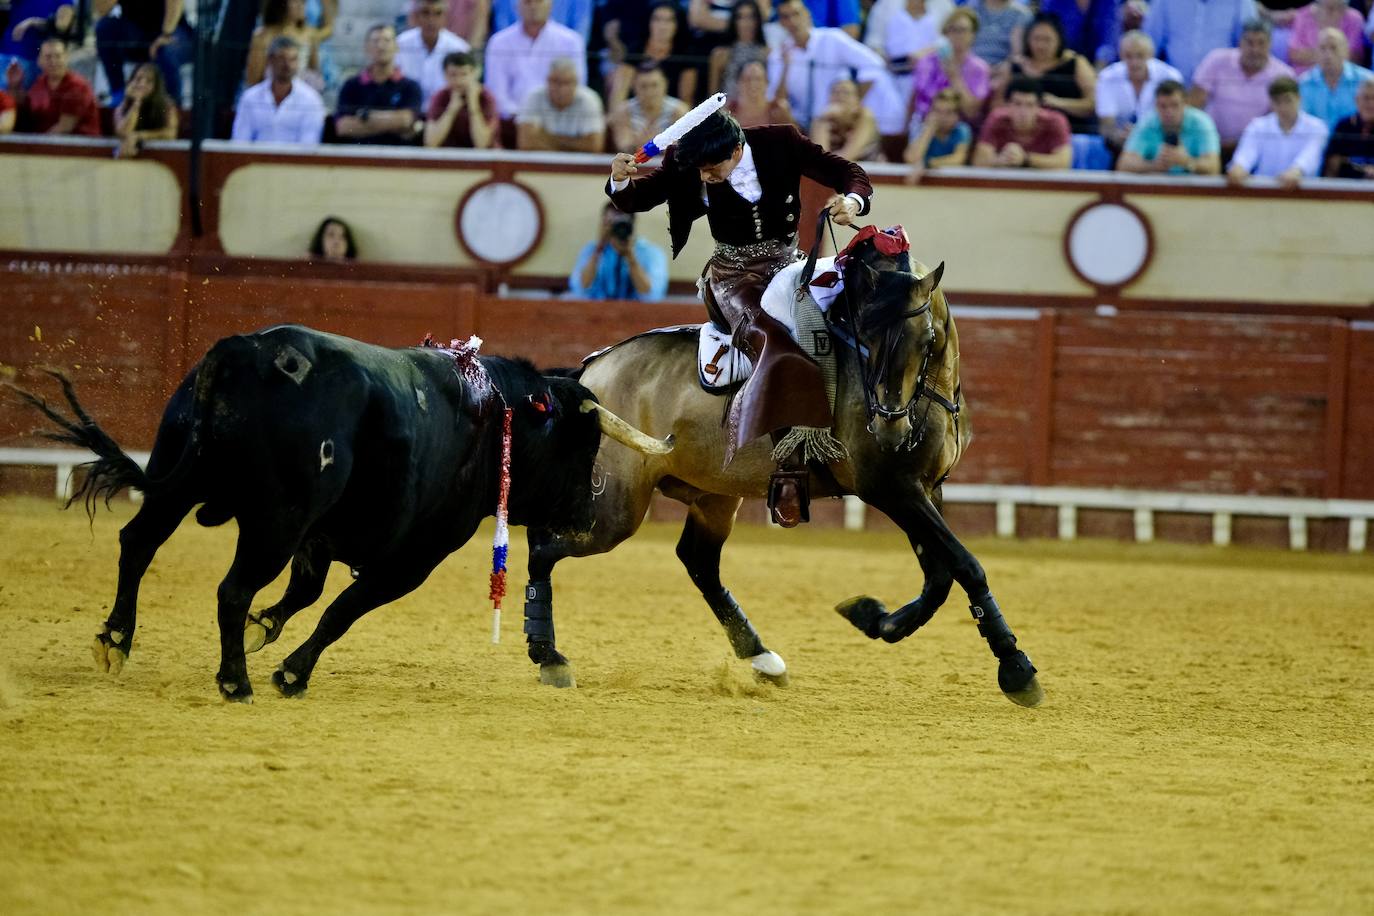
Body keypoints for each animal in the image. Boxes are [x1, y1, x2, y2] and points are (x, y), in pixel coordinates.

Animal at [13, 324, 667, 703]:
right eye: (584, 446)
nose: (586, 516)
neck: (499, 416)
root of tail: (242, 353)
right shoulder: (414, 559)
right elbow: (341, 612)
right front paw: (289, 673)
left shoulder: (320, 537)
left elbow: (306, 595)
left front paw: (266, 631)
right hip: (274, 518)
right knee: (230, 588)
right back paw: (235, 681)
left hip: (181, 484)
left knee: (139, 543)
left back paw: (116, 640)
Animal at [522, 222, 1038, 708]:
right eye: (866, 337)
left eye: (925, 337)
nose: (888, 428)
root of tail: (591, 371)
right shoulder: (890, 489)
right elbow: (965, 565)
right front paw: (1015, 667)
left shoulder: (926, 488)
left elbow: (940, 576)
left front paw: (873, 617)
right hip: (615, 507)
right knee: (544, 546)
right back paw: (548, 655)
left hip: (713, 495)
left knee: (699, 563)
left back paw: (763, 659)